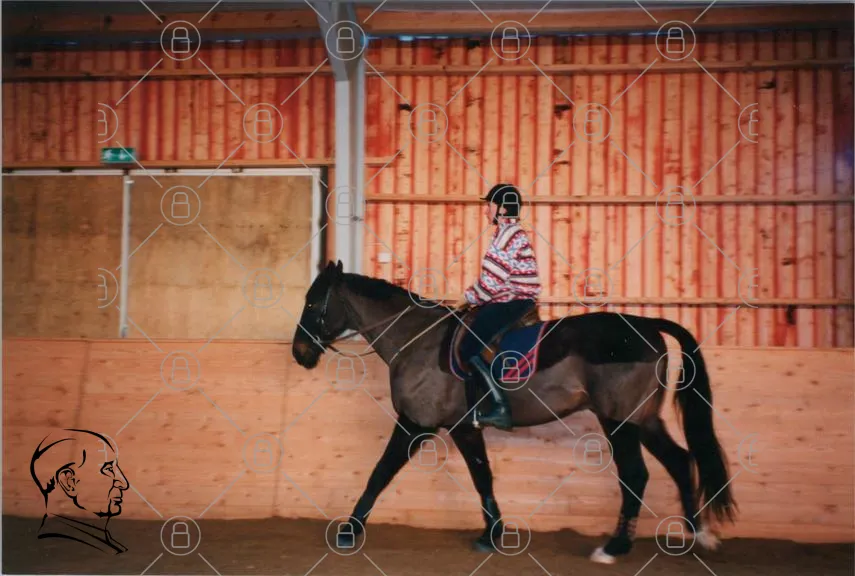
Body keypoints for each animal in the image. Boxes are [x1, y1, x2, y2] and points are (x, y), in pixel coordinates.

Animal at [291, 261, 735, 563]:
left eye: (313, 302)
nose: (299, 353)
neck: (416, 341)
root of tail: (646, 324)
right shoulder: (463, 427)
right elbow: (482, 476)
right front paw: (493, 534)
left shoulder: (416, 425)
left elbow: (380, 472)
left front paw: (348, 531)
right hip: (644, 420)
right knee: (680, 461)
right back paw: (697, 535)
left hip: (620, 423)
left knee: (637, 476)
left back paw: (615, 547)